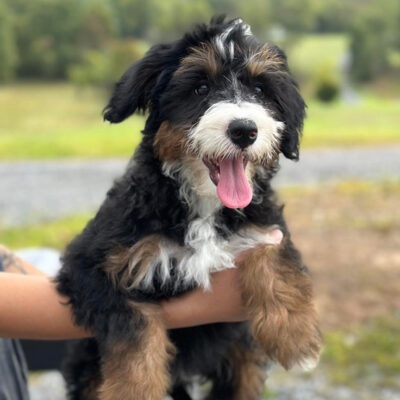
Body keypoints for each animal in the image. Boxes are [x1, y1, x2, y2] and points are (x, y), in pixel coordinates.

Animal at [56, 15, 320, 400]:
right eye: (201, 88)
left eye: (260, 90)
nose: (245, 130)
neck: (203, 207)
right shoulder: (87, 264)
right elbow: (135, 323)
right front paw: (135, 387)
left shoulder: (262, 222)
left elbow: (273, 252)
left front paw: (295, 336)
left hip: (241, 356)